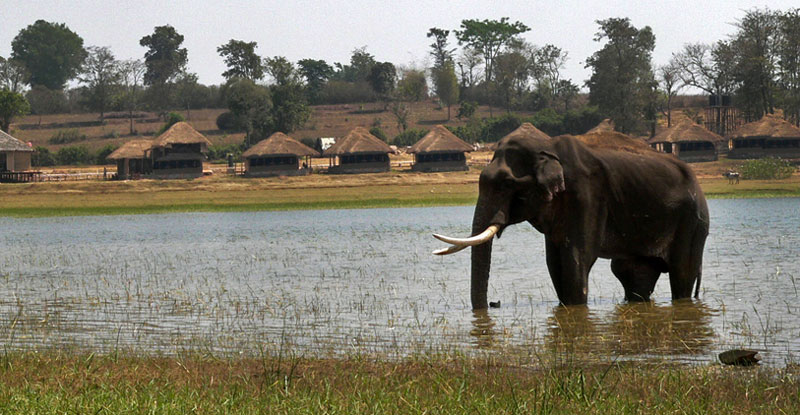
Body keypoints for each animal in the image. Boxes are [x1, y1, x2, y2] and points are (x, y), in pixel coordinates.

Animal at [434, 127, 709, 310]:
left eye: (507, 184)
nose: (493, 304)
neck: (547, 148)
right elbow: (554, 263)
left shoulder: (587, 196)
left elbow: (576, 257)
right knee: (631, 275)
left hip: (693, 223)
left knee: (682, 273)